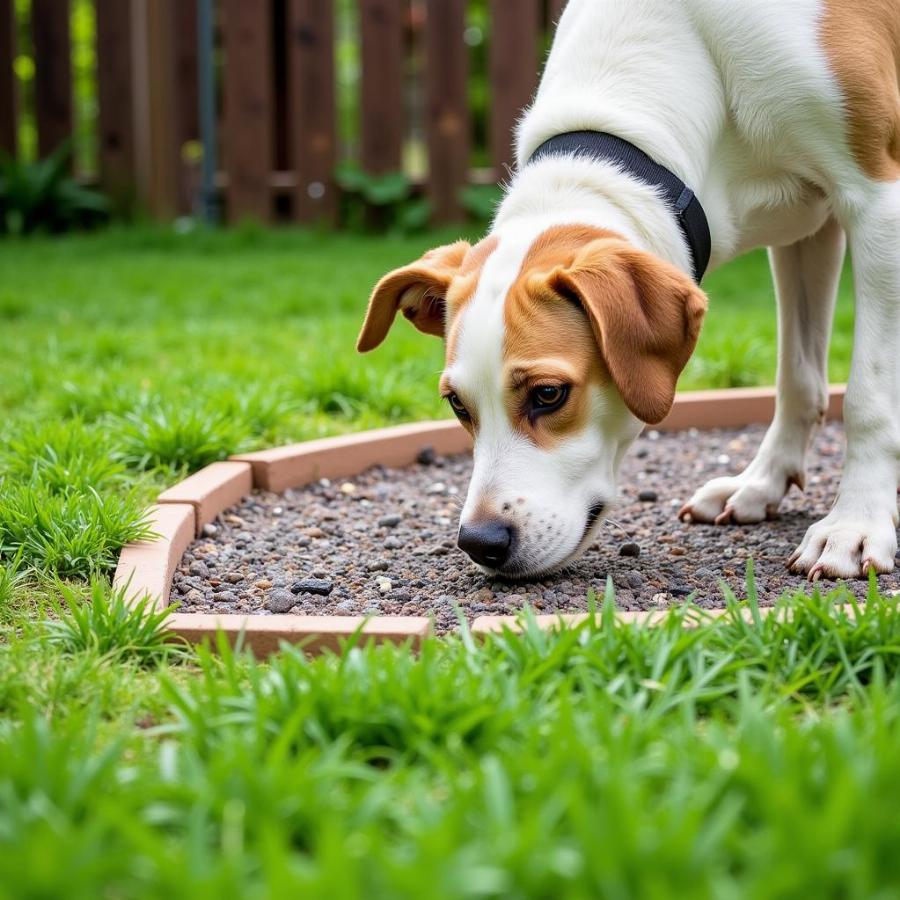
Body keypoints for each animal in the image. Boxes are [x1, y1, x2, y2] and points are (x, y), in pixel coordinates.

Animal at [356, 0, 896, 584]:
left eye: (549, 394)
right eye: (457, 404)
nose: (481, 542)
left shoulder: (875, 204)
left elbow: (867, 397)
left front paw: (856, 522)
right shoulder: (807, 233)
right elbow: (797, 378)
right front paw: (763, 482)